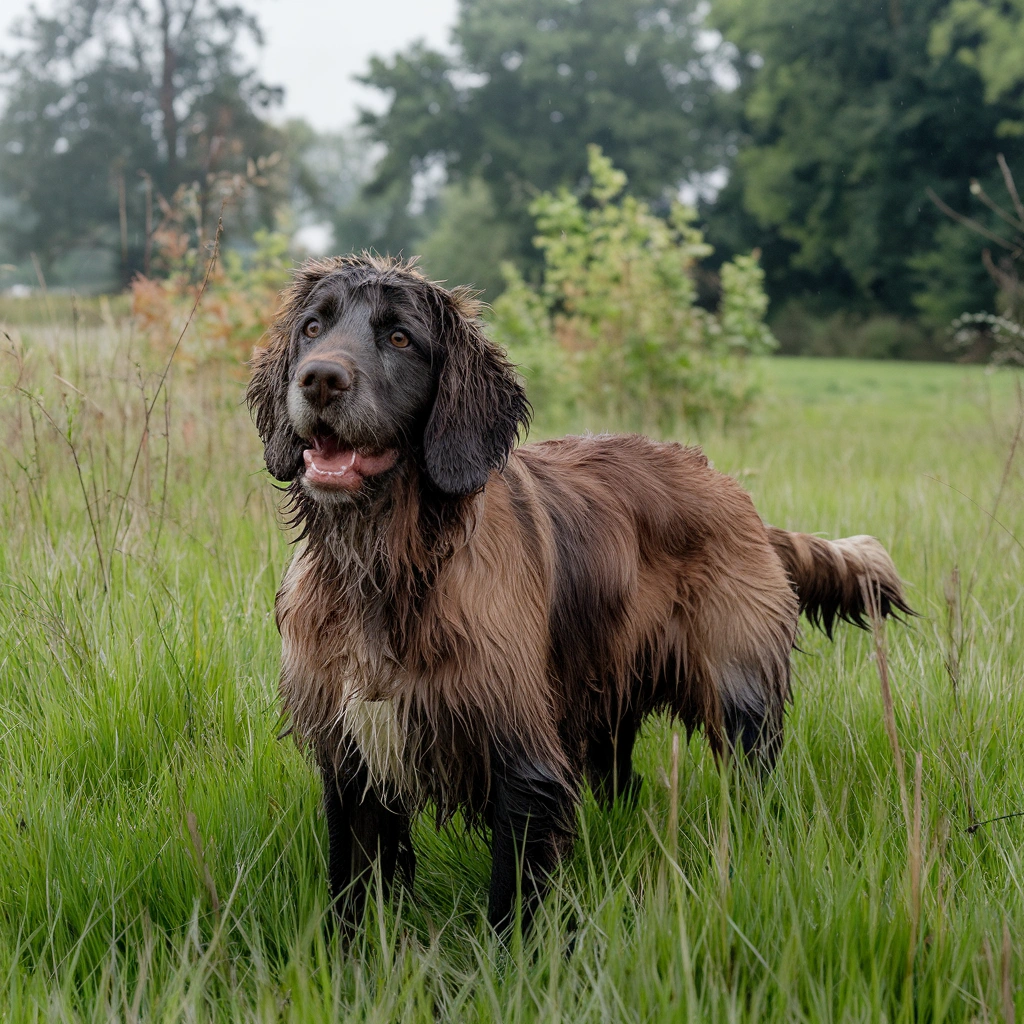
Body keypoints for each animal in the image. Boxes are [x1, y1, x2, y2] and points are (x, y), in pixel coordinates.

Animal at [245, 251, 905, 933]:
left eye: (400, 338)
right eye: (313, 328)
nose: (319, 380)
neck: (389, 566)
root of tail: (737, 495)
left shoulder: (523, 760)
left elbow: (513, 910)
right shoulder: (352, 762)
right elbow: (352, 894)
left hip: (738, 696)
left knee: (751, 785)